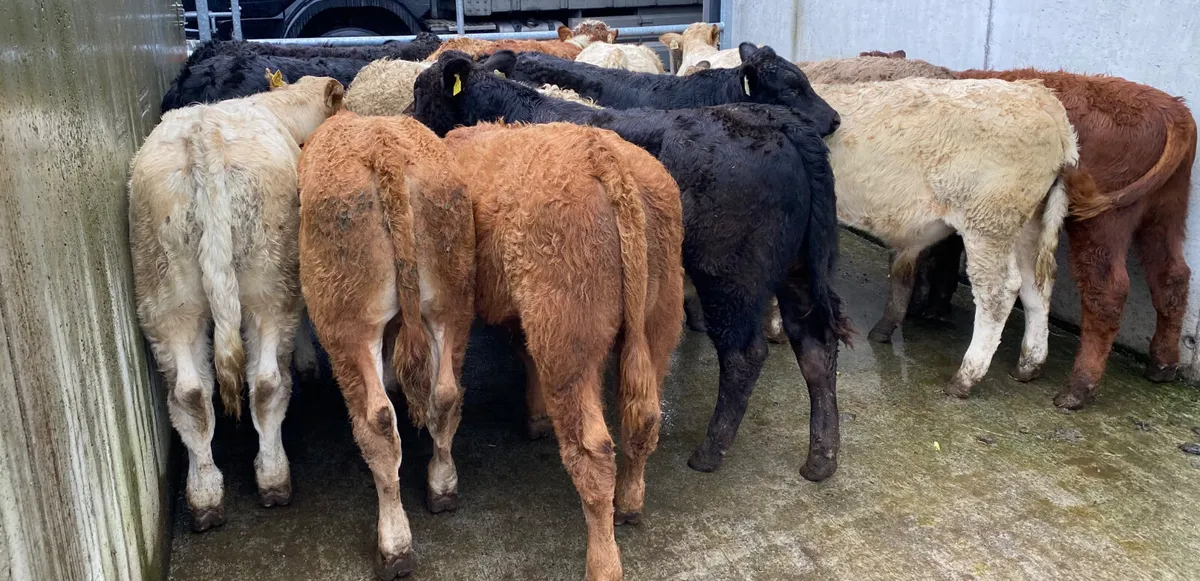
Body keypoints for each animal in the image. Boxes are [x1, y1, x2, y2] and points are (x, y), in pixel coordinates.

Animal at [129, 73, 344, 532]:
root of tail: (204, 133)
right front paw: (307, 363)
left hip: (168, 295)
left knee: (193, 393)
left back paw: (208, 495)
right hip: (263, 286)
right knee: (259, 384)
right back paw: (267, 481)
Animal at [414, 50, 851, 480]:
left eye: (421, 92)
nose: (409, 120)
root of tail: (777, 122)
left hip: (729, 277)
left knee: (745, 355)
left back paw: (710, 451)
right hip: (799, 270)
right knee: (816, 346)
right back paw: (822, 457)